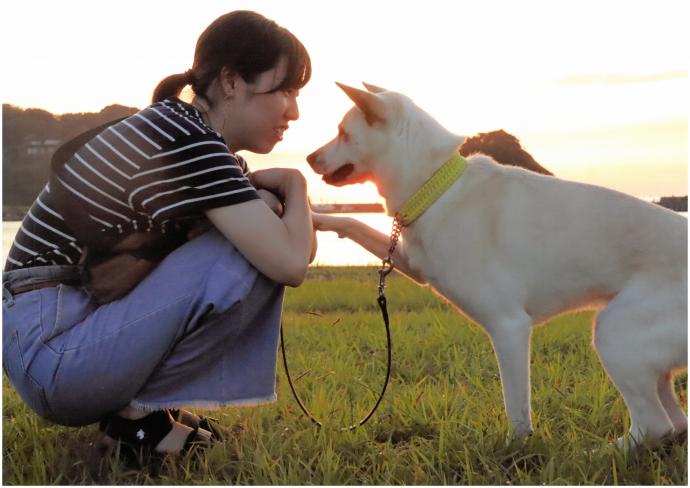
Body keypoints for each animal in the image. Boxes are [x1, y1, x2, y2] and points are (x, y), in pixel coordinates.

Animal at [310, 82, 684, 448]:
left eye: (342, 132)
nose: (309, 157)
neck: (436, 185)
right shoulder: (413, 265)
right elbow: (354, 224)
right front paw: (314, 218)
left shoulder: (509, 328)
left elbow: (515, 408)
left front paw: (512, 452)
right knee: (676, 423)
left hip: (614, 333)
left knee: (655, 425)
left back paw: (598, 452)